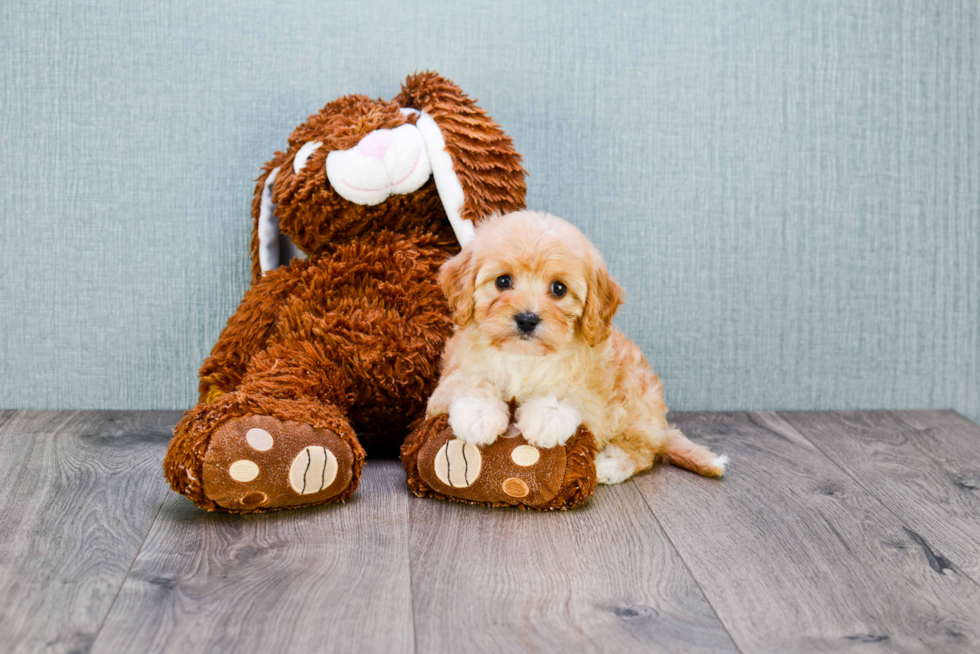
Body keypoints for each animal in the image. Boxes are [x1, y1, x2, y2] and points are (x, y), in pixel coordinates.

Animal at [428, 213, 728, 484]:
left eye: (559, 289)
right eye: (503, 281)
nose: (527, 319)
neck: (525, 357)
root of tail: (661, 429)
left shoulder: (593, 395)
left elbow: (568, 393)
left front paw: (546, 417)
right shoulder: (454, 372)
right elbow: (470, 380)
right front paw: (478, 413)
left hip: (636, 403)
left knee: (642, 452)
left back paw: (608, 465)